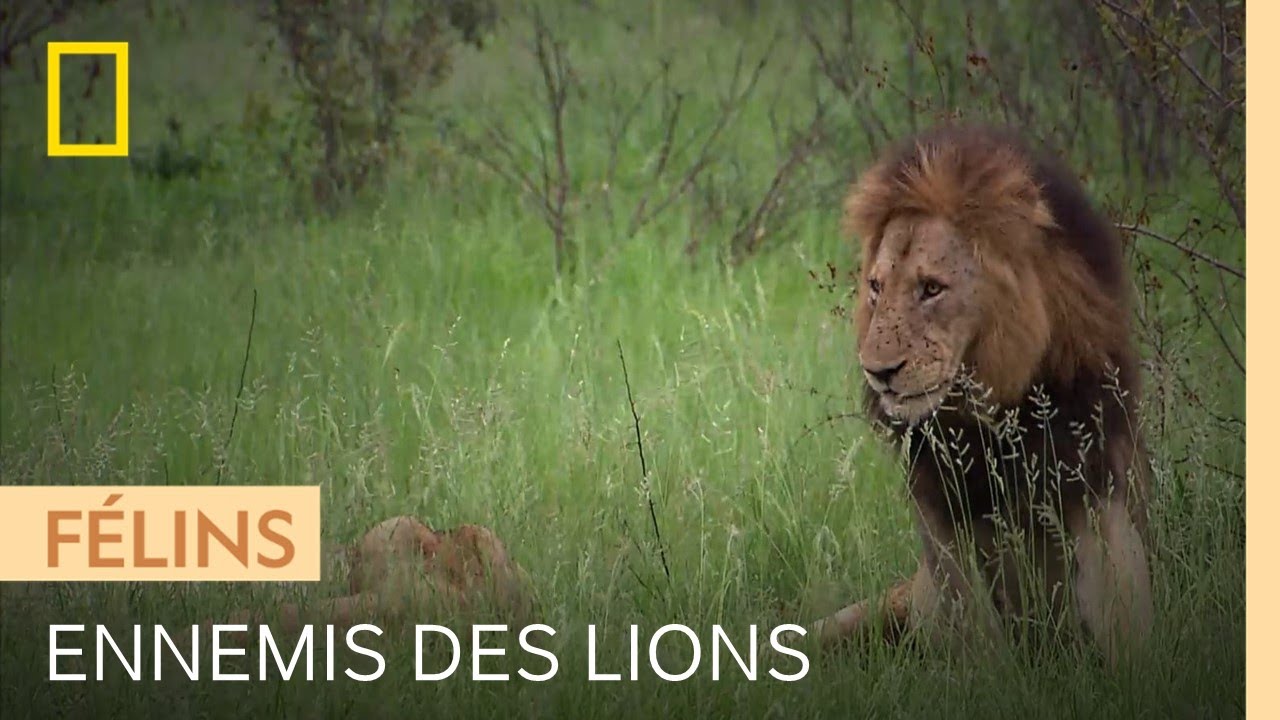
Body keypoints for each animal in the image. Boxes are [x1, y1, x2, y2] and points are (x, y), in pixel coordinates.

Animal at [808, 124, 1154, 669]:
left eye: (931, 288)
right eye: (876, 287)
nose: (879, 372)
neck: (988, 411)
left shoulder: (1094, 475)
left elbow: (1119, 592)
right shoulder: (937, 502)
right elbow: (967, 614)